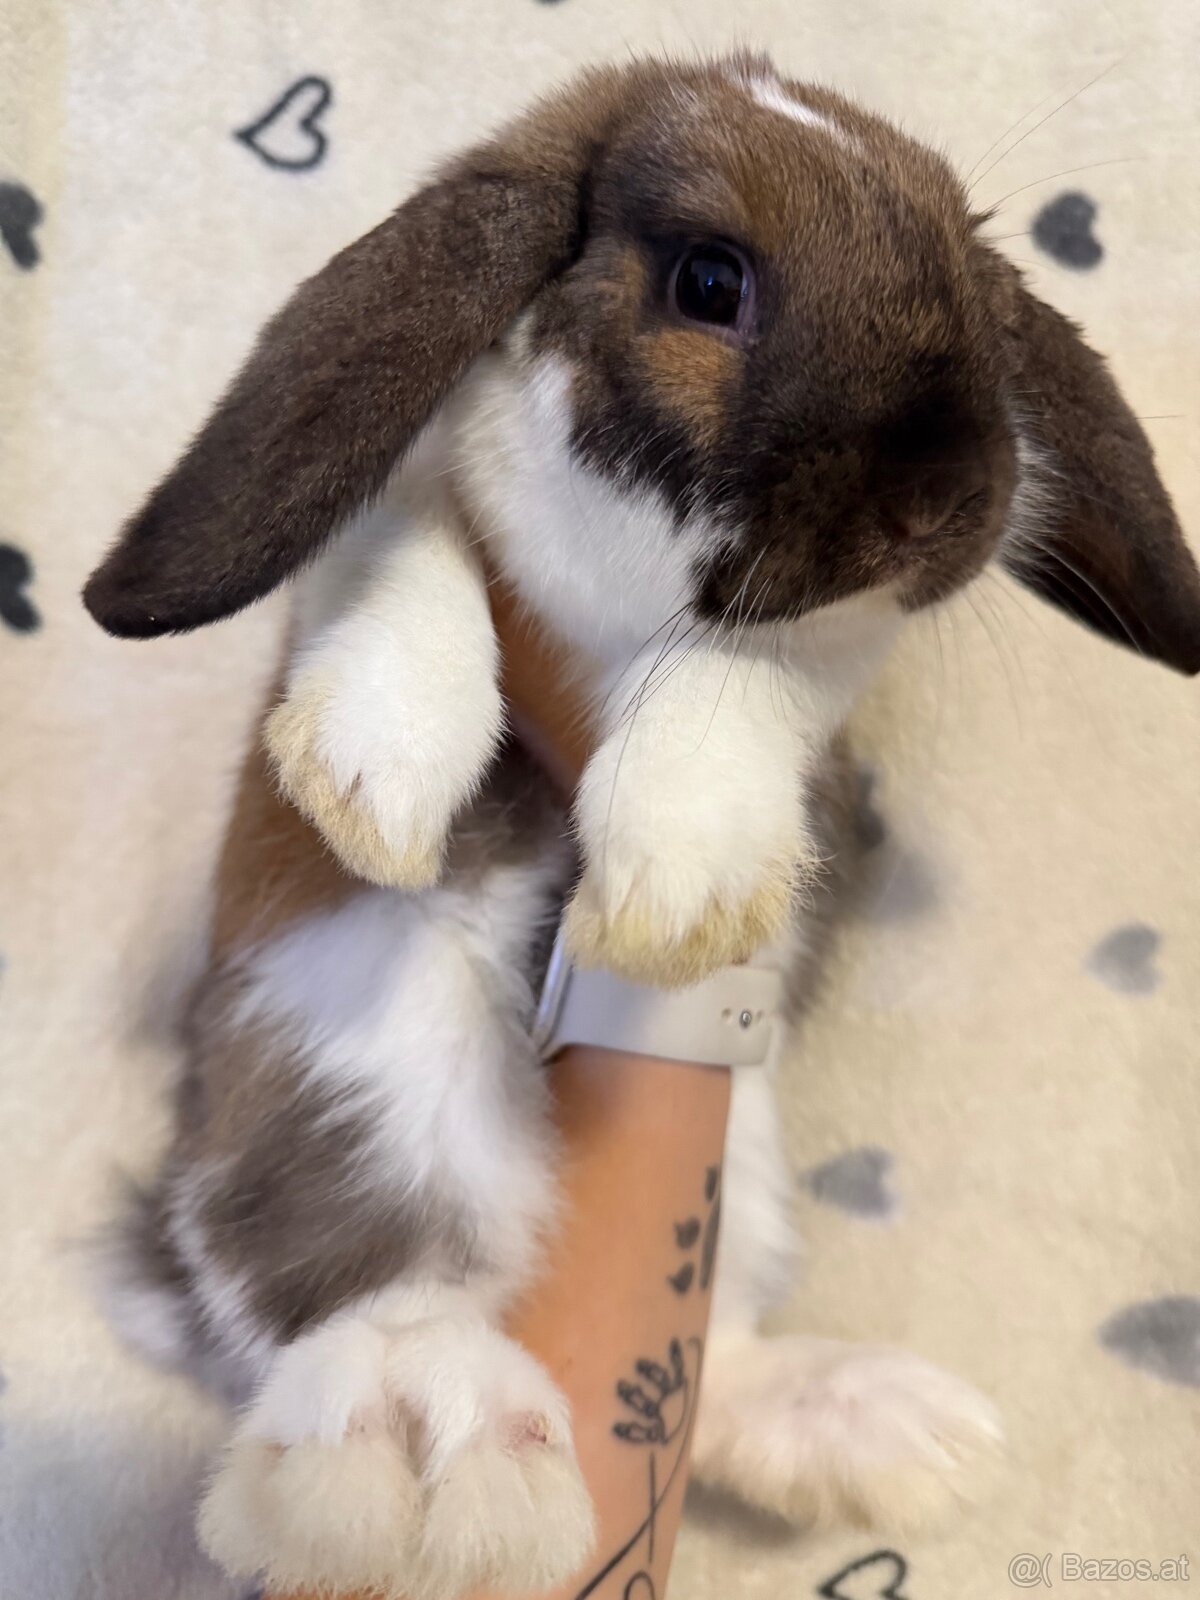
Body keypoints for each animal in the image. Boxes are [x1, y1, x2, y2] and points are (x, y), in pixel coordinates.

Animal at [83, 50, 1200, 1600]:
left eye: (979, 301)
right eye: (709, 282)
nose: (939, 502)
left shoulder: (811, 655)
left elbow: (738, 677)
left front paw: (685, 871)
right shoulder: (423, 494)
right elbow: (398, 529)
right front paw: (376, 771)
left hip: (751, 1170)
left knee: (711, 1360)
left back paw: (872, 1425)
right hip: (357, 1053)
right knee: (354, 1273)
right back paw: (418, 1435)